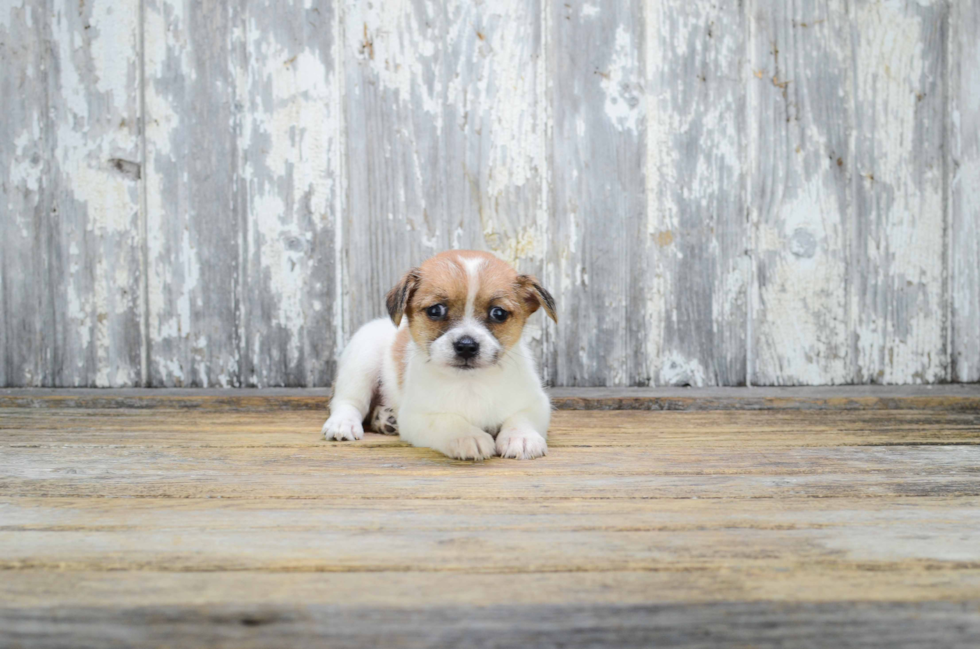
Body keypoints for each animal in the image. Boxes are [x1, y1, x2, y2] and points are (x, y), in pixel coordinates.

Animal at [320, 249, 556, 460]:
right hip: (362, 363)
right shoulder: (419, 417)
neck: (470, 383)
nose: (466, 346)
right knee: (348, 402)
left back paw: (385, 418)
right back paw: (343, 423)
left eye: (498, 313)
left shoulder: (535, 403)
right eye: (436, 310)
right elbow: (449, 421)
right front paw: (467, 436)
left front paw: (522, 437)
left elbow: (521, 418)